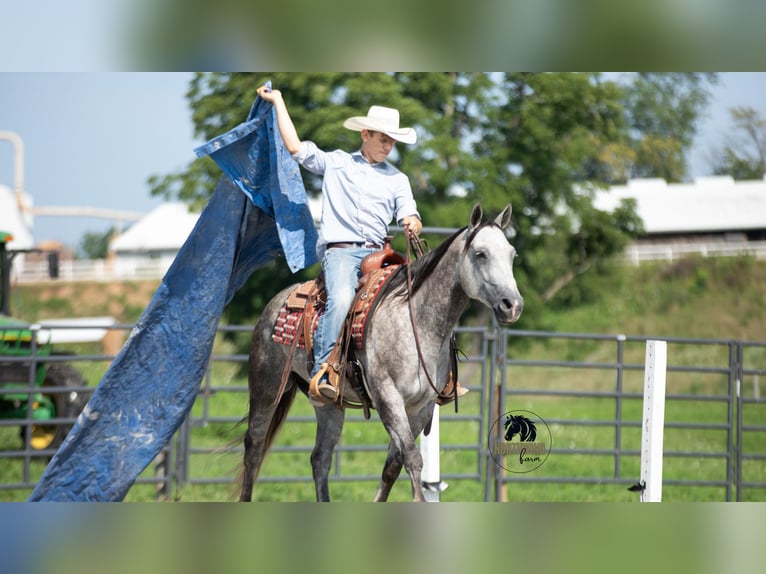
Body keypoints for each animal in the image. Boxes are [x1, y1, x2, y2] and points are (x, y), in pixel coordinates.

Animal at [238, 203, 524, 501]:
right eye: (480, 254)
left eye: (512, 254)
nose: (513, 305)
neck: (415, 319)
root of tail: (277, 301)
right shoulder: (389, 397)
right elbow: (412, 458)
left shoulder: (422, 407)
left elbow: (393, 465)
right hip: (267, 388)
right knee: (254, 446)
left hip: (329, 405)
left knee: (320, 458)